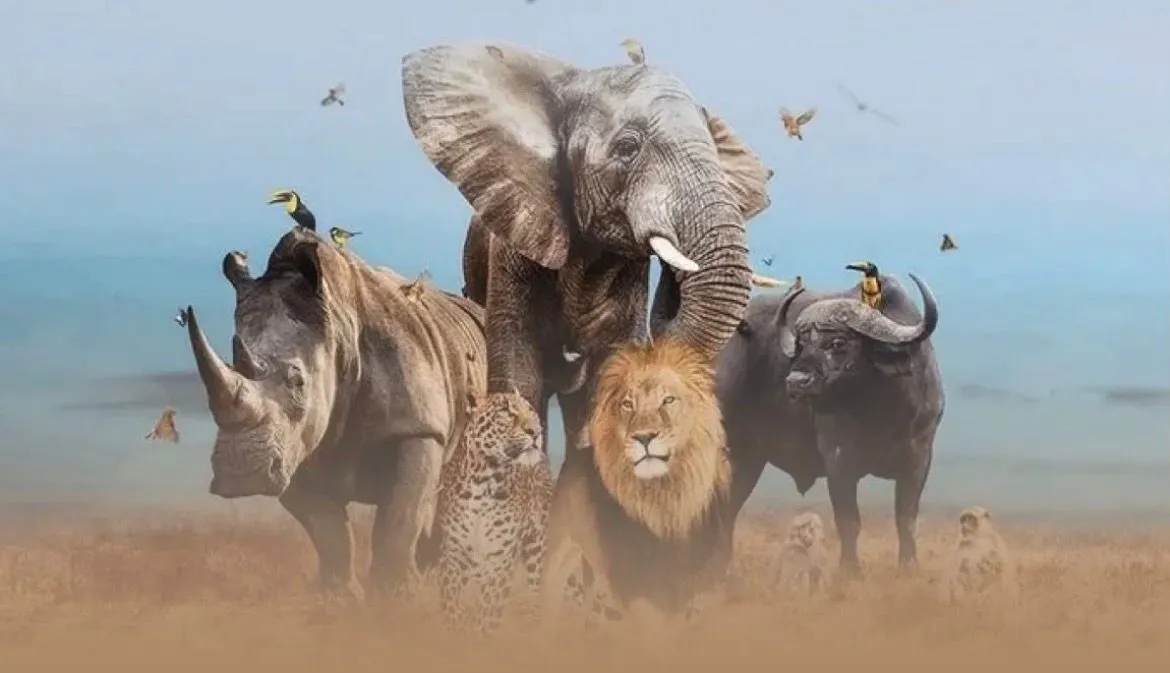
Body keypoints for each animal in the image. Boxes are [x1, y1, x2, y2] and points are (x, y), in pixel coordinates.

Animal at [539, 338, 733, 651]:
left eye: (668, 400)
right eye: (627, 404)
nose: (643, 437)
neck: (668, 504)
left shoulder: (701, 594)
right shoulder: (641, 595)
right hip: (559, 554)